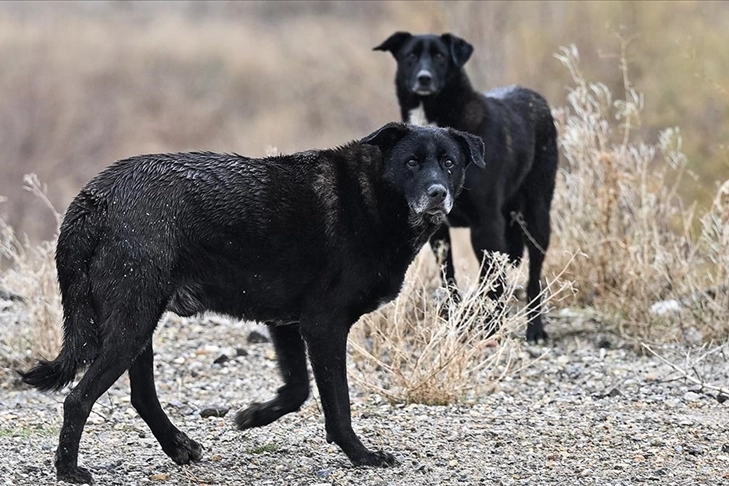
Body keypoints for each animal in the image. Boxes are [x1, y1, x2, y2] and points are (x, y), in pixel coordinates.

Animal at [19, 122, 484, 482]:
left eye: (449, 163)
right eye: (411, 163)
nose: (437, 193)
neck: (372, 197)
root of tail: (96, 196)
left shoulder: (288, 323)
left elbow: (297, 389)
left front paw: (254, 416)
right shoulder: (324, 324)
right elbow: (338, 404)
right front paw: (362, 455)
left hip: (138, 323)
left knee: (142, 396)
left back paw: (179, 447)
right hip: (131, 323)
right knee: (78, 399)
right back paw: (68, 470)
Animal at [376, 31, 556, 342]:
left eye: (440, 56)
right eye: (411, 56)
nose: (424, 78)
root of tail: (535, 97)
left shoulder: (486, 224)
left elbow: (492, 280)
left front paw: (492, 327)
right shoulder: (439, 231)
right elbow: (449, 277)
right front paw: (455, 320)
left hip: (537, 216)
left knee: (533, 275)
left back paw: (535, 328)